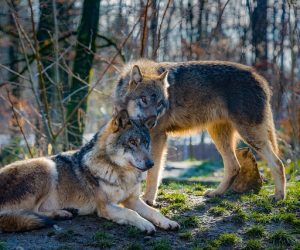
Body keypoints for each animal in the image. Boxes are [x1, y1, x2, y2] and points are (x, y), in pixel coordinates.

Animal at [0, 111, 178, 232]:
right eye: (132, 142)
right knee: (29, 213)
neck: (121, 173)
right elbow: (130, 213)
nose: (151, 164)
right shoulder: (106, 206)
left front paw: (167, 222)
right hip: (46, 165)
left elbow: (153, 211)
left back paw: (65, 212)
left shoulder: (132, 199)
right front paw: (145, 224)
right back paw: (60, 214)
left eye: (146, 143)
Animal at [113, 59, 286, 205]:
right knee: (234, 166)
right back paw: (216, 193)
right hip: (219, 135)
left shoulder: (158, 137)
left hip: (249, 135)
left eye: (160, 103)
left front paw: (148, 200)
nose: (151, 123)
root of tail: (260, 78)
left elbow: (153, 171)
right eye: (144, 99)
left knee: (278, 163)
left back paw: (279, 196)